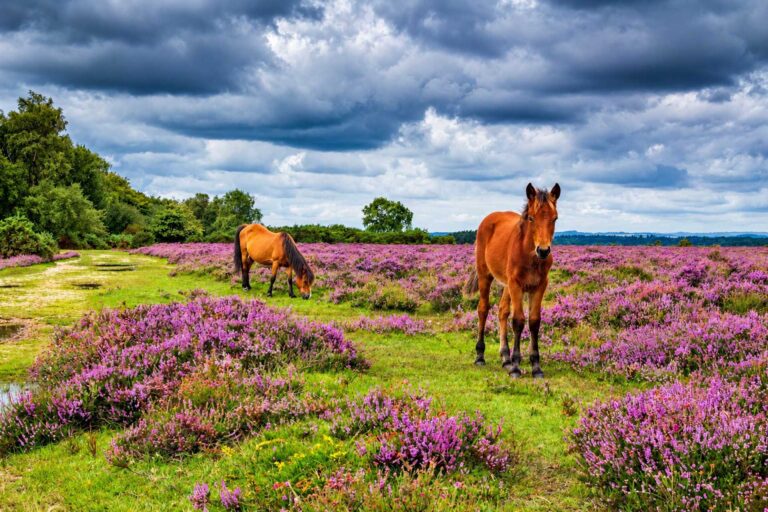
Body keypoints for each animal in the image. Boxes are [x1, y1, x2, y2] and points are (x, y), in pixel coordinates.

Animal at [464, 183, 560, 378]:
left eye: (555, 219)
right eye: (531, 218)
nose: (543, 250)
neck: (529, 256)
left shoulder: (539, 286)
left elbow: (534, 321)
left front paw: (535, 366)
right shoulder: (516, 285)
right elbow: (518, 321)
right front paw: (516, 367)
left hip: (507, 285)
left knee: (502, 311)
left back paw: (505, 358)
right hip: (486, 276)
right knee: (483, 309)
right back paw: (480, 356)